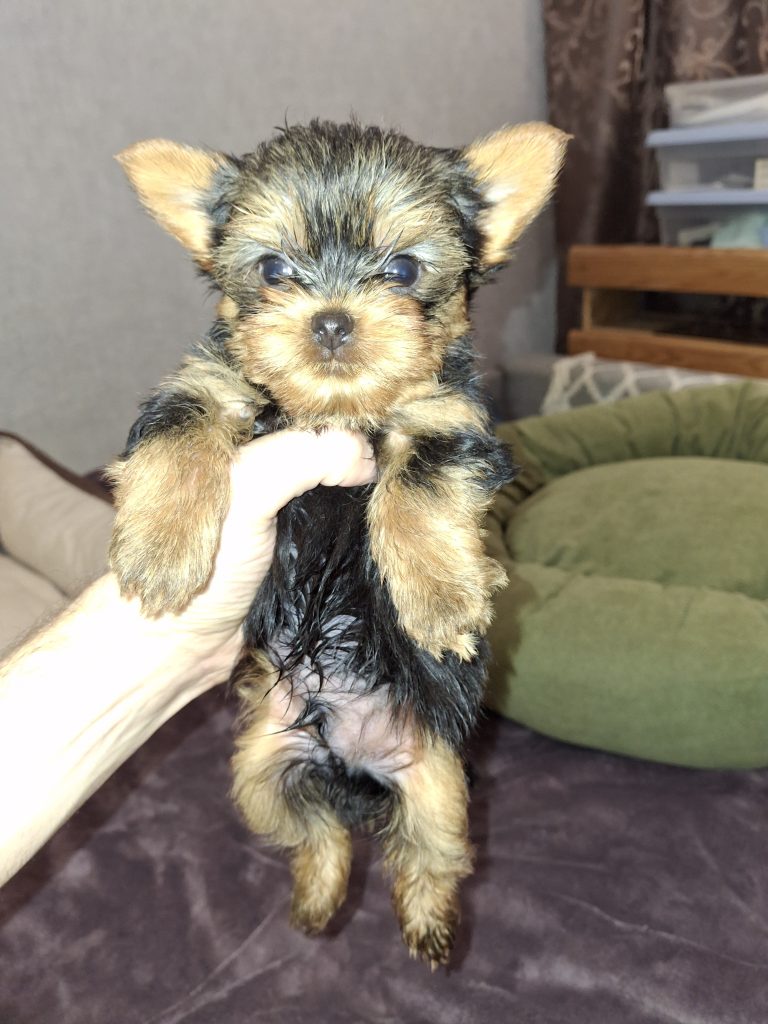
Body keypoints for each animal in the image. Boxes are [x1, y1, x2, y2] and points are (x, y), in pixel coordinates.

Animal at [109, 119, 567, 967]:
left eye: (404, 268)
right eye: (273, 269)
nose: (330, 319)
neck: (333, 411)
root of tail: (349, 757)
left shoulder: (444, 415)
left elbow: (418, 483)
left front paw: (439, 596)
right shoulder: (213, 381)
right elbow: (181, 422)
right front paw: (160, 544)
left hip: (437, 775)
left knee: (431, 849)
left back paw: (430, 928)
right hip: (262, 760)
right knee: (315, 832)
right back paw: (320, 900)